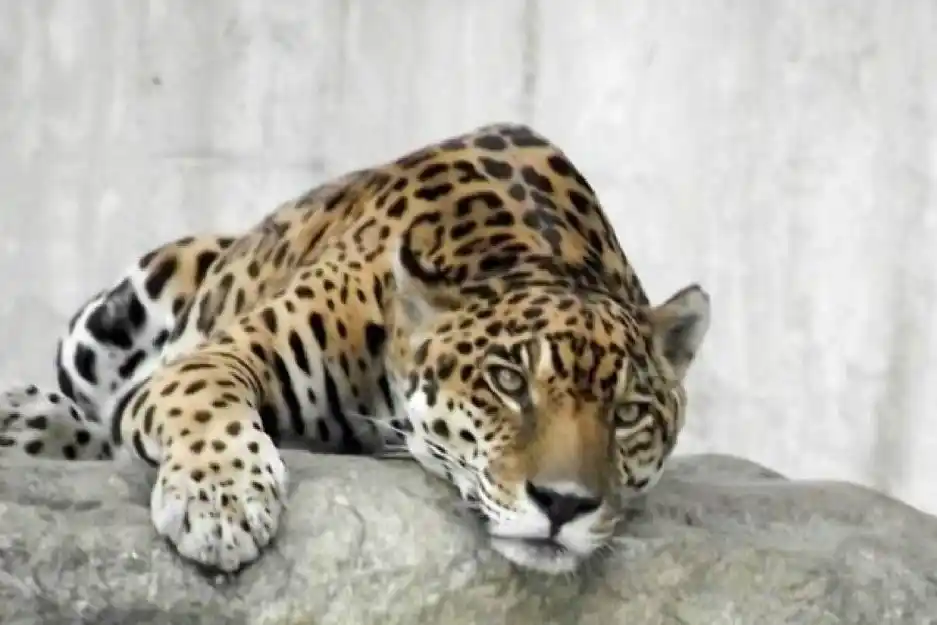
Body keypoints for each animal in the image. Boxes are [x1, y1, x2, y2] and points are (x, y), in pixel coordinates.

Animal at [0, 122, 711, 576]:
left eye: (628, 414)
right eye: (508, 383)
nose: (563, 505)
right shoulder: (220, 355)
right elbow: (204, 399)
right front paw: (222, 505)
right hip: (115, 309)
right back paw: (32, 417)